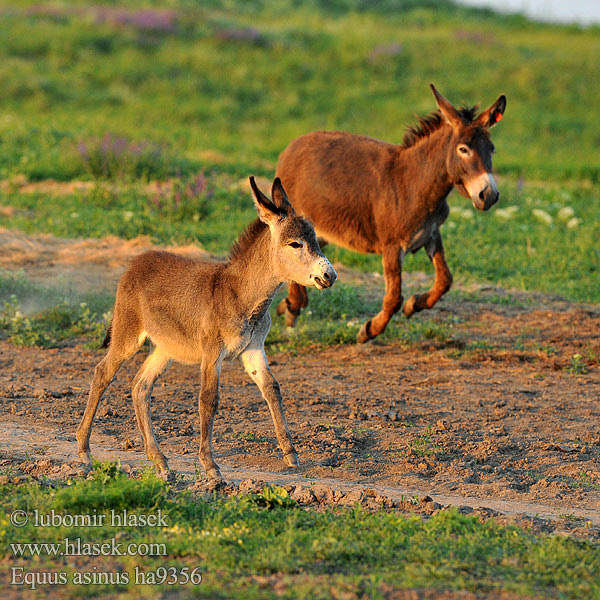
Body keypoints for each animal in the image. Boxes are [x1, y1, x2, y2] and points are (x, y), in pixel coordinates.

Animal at [77, 176, 336, 480]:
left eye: (315, 241)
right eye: (295, 244)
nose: (330, 275)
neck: (240, 294)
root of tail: (136, 262)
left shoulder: (253, 349)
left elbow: (271, 388)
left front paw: (290, 454)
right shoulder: (213, 353)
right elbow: (208, 400)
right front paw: (211, 466)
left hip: (165, 348)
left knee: (140, 386)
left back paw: (159, 460)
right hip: (128, 334)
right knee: (102, 374)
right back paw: (84, 451)